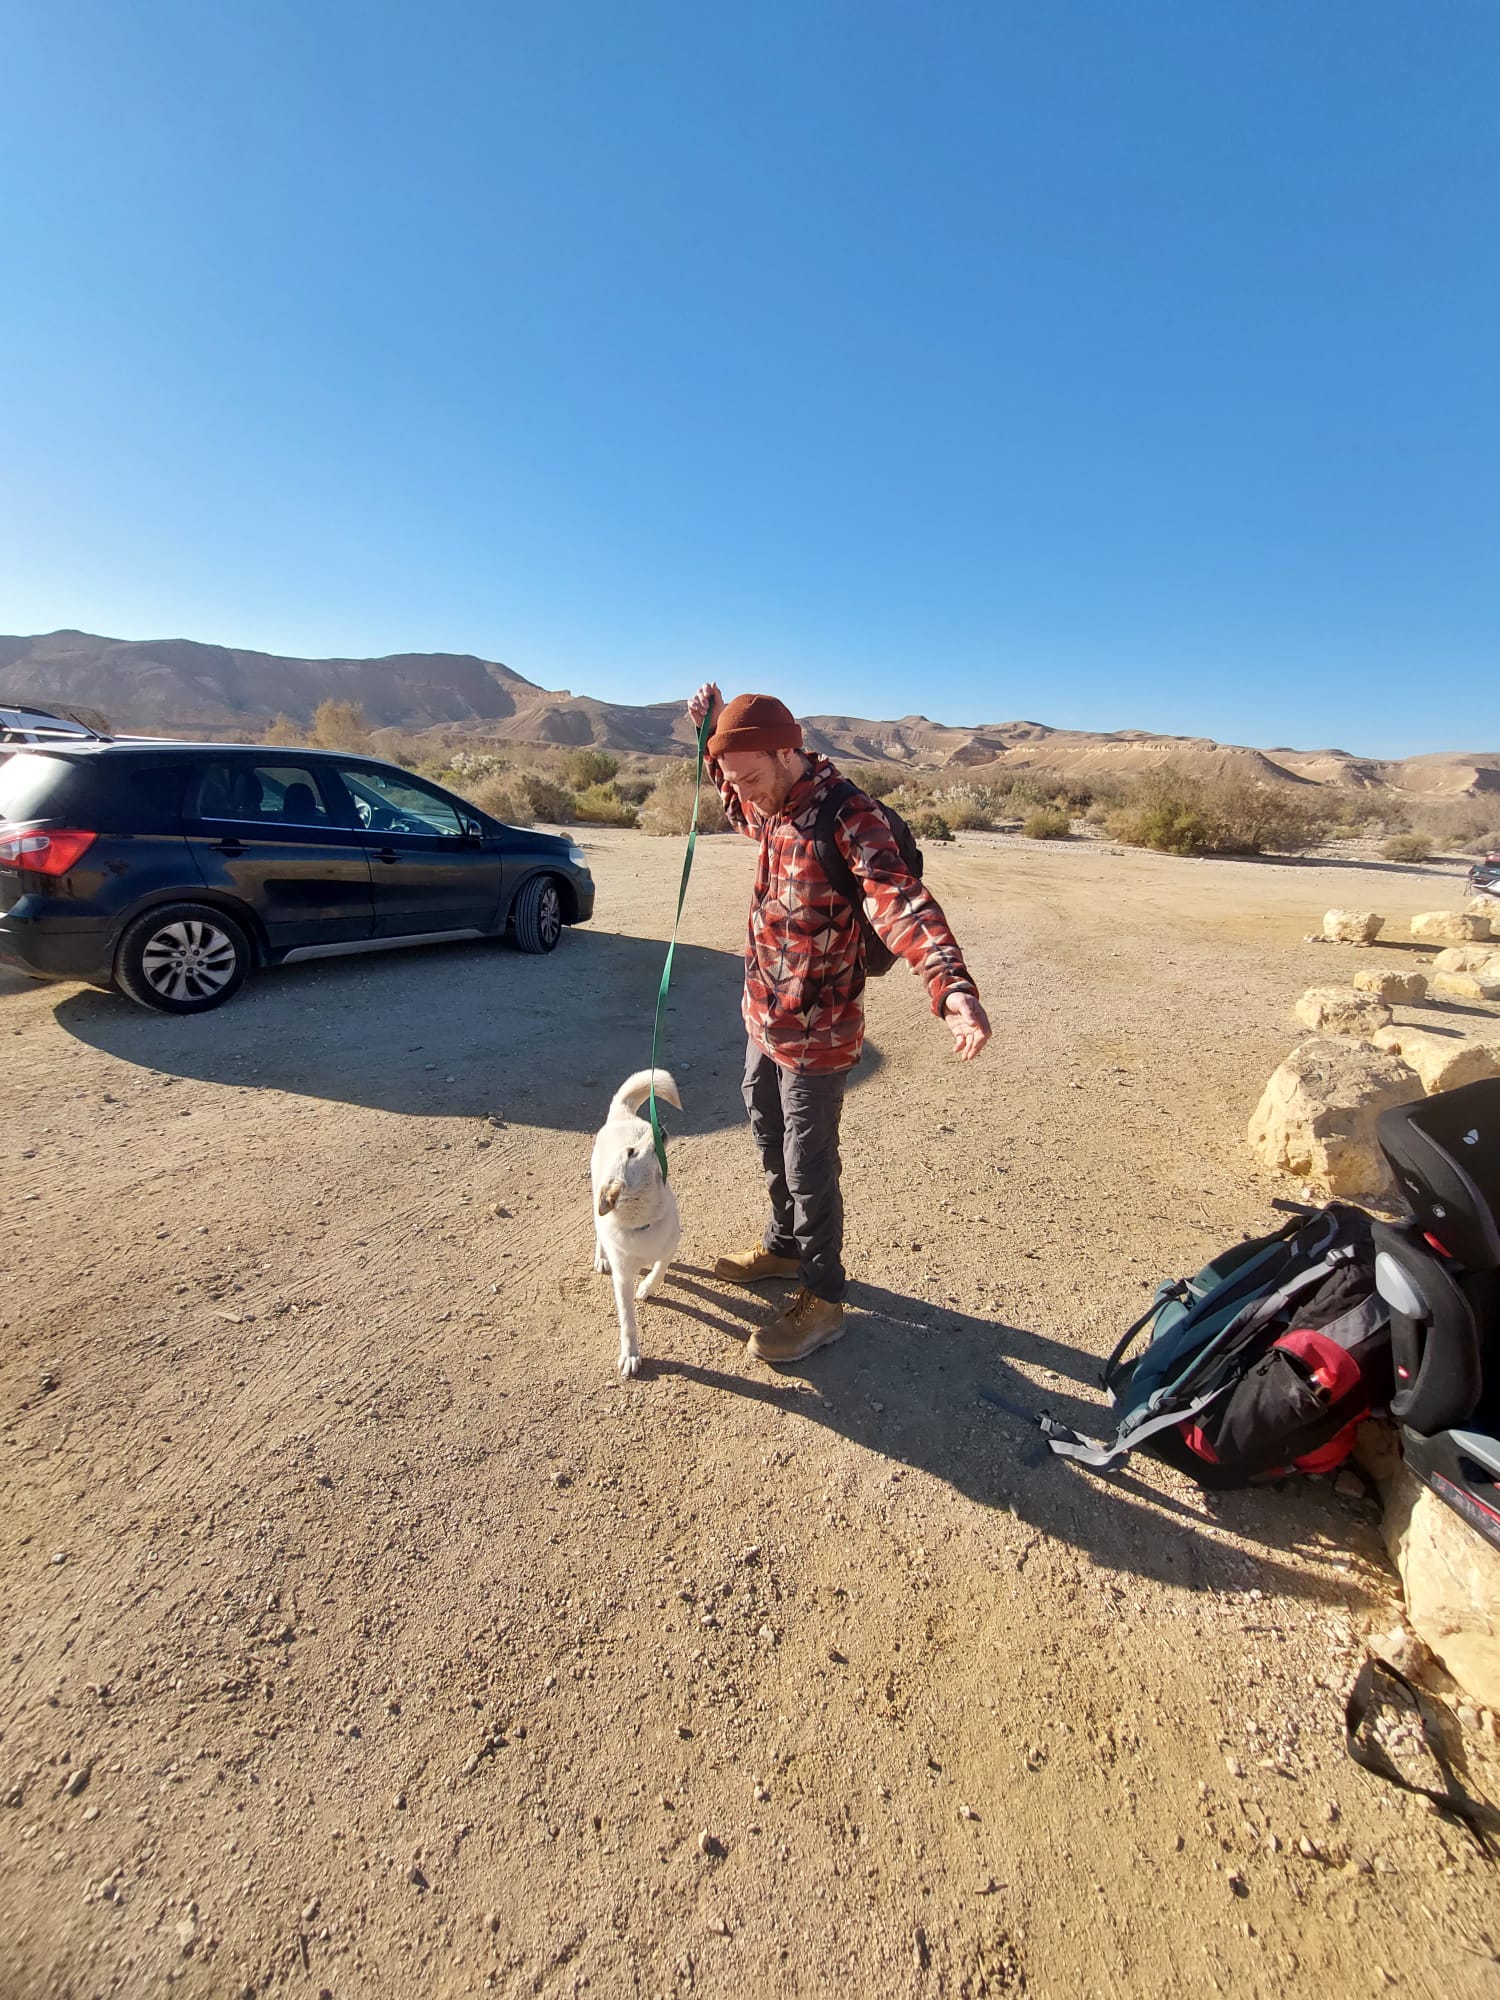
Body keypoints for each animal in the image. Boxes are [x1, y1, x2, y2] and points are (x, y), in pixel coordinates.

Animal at [591, 1068, 682, 1377]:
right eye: (631, 1152)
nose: (659, 1127)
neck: (644, 1222)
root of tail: (621, 1116)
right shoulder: (622, 1279)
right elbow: (628, 1322)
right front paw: (630, 1355)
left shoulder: (671, 1244)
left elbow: (660, 1269)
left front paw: (648, 1287)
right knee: (598, 1230)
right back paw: (600, 1257)